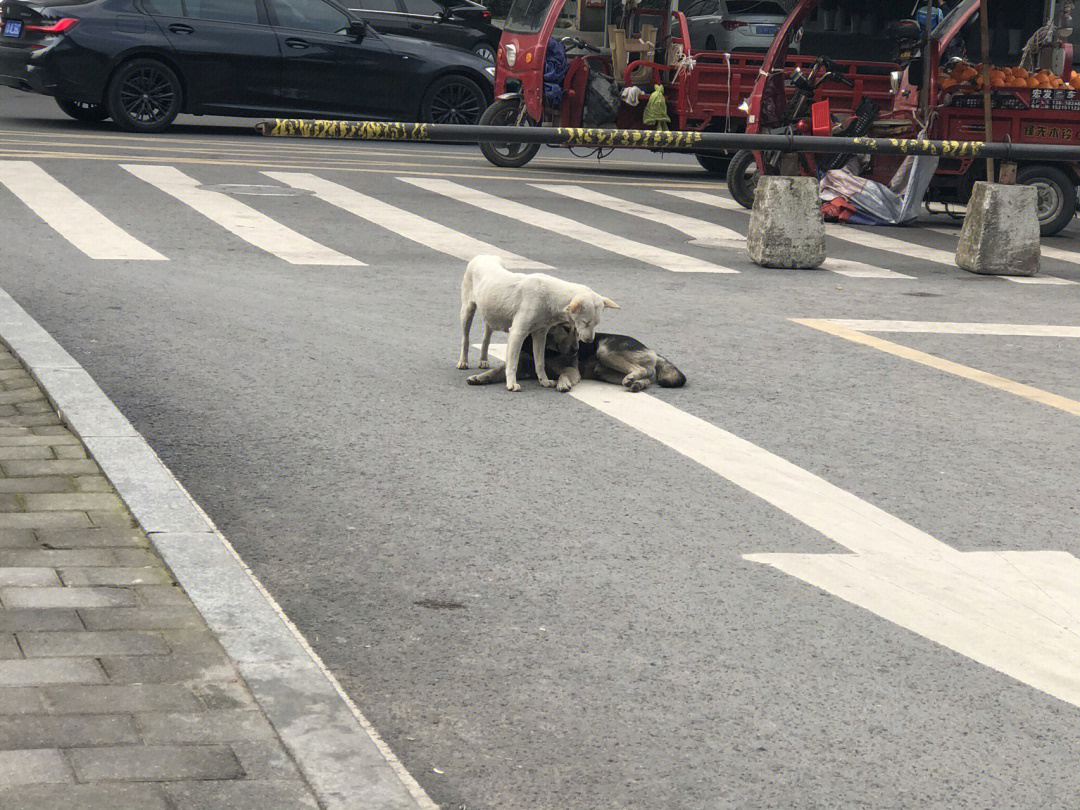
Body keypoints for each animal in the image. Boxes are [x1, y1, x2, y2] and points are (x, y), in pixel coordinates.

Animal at [460, 254, 622, 390]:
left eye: (596, 324)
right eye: (585, 322)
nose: (588, 342)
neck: (549, 297)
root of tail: (484, 255)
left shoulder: (540, 334)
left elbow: (539, 362)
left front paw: (544, 380)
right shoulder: (517, 333)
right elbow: (513, 363)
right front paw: (511, 384)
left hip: (491, 316)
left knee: (486, 337)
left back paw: (483, 360)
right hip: (467, 311)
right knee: (465, 339)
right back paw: (463, 362)